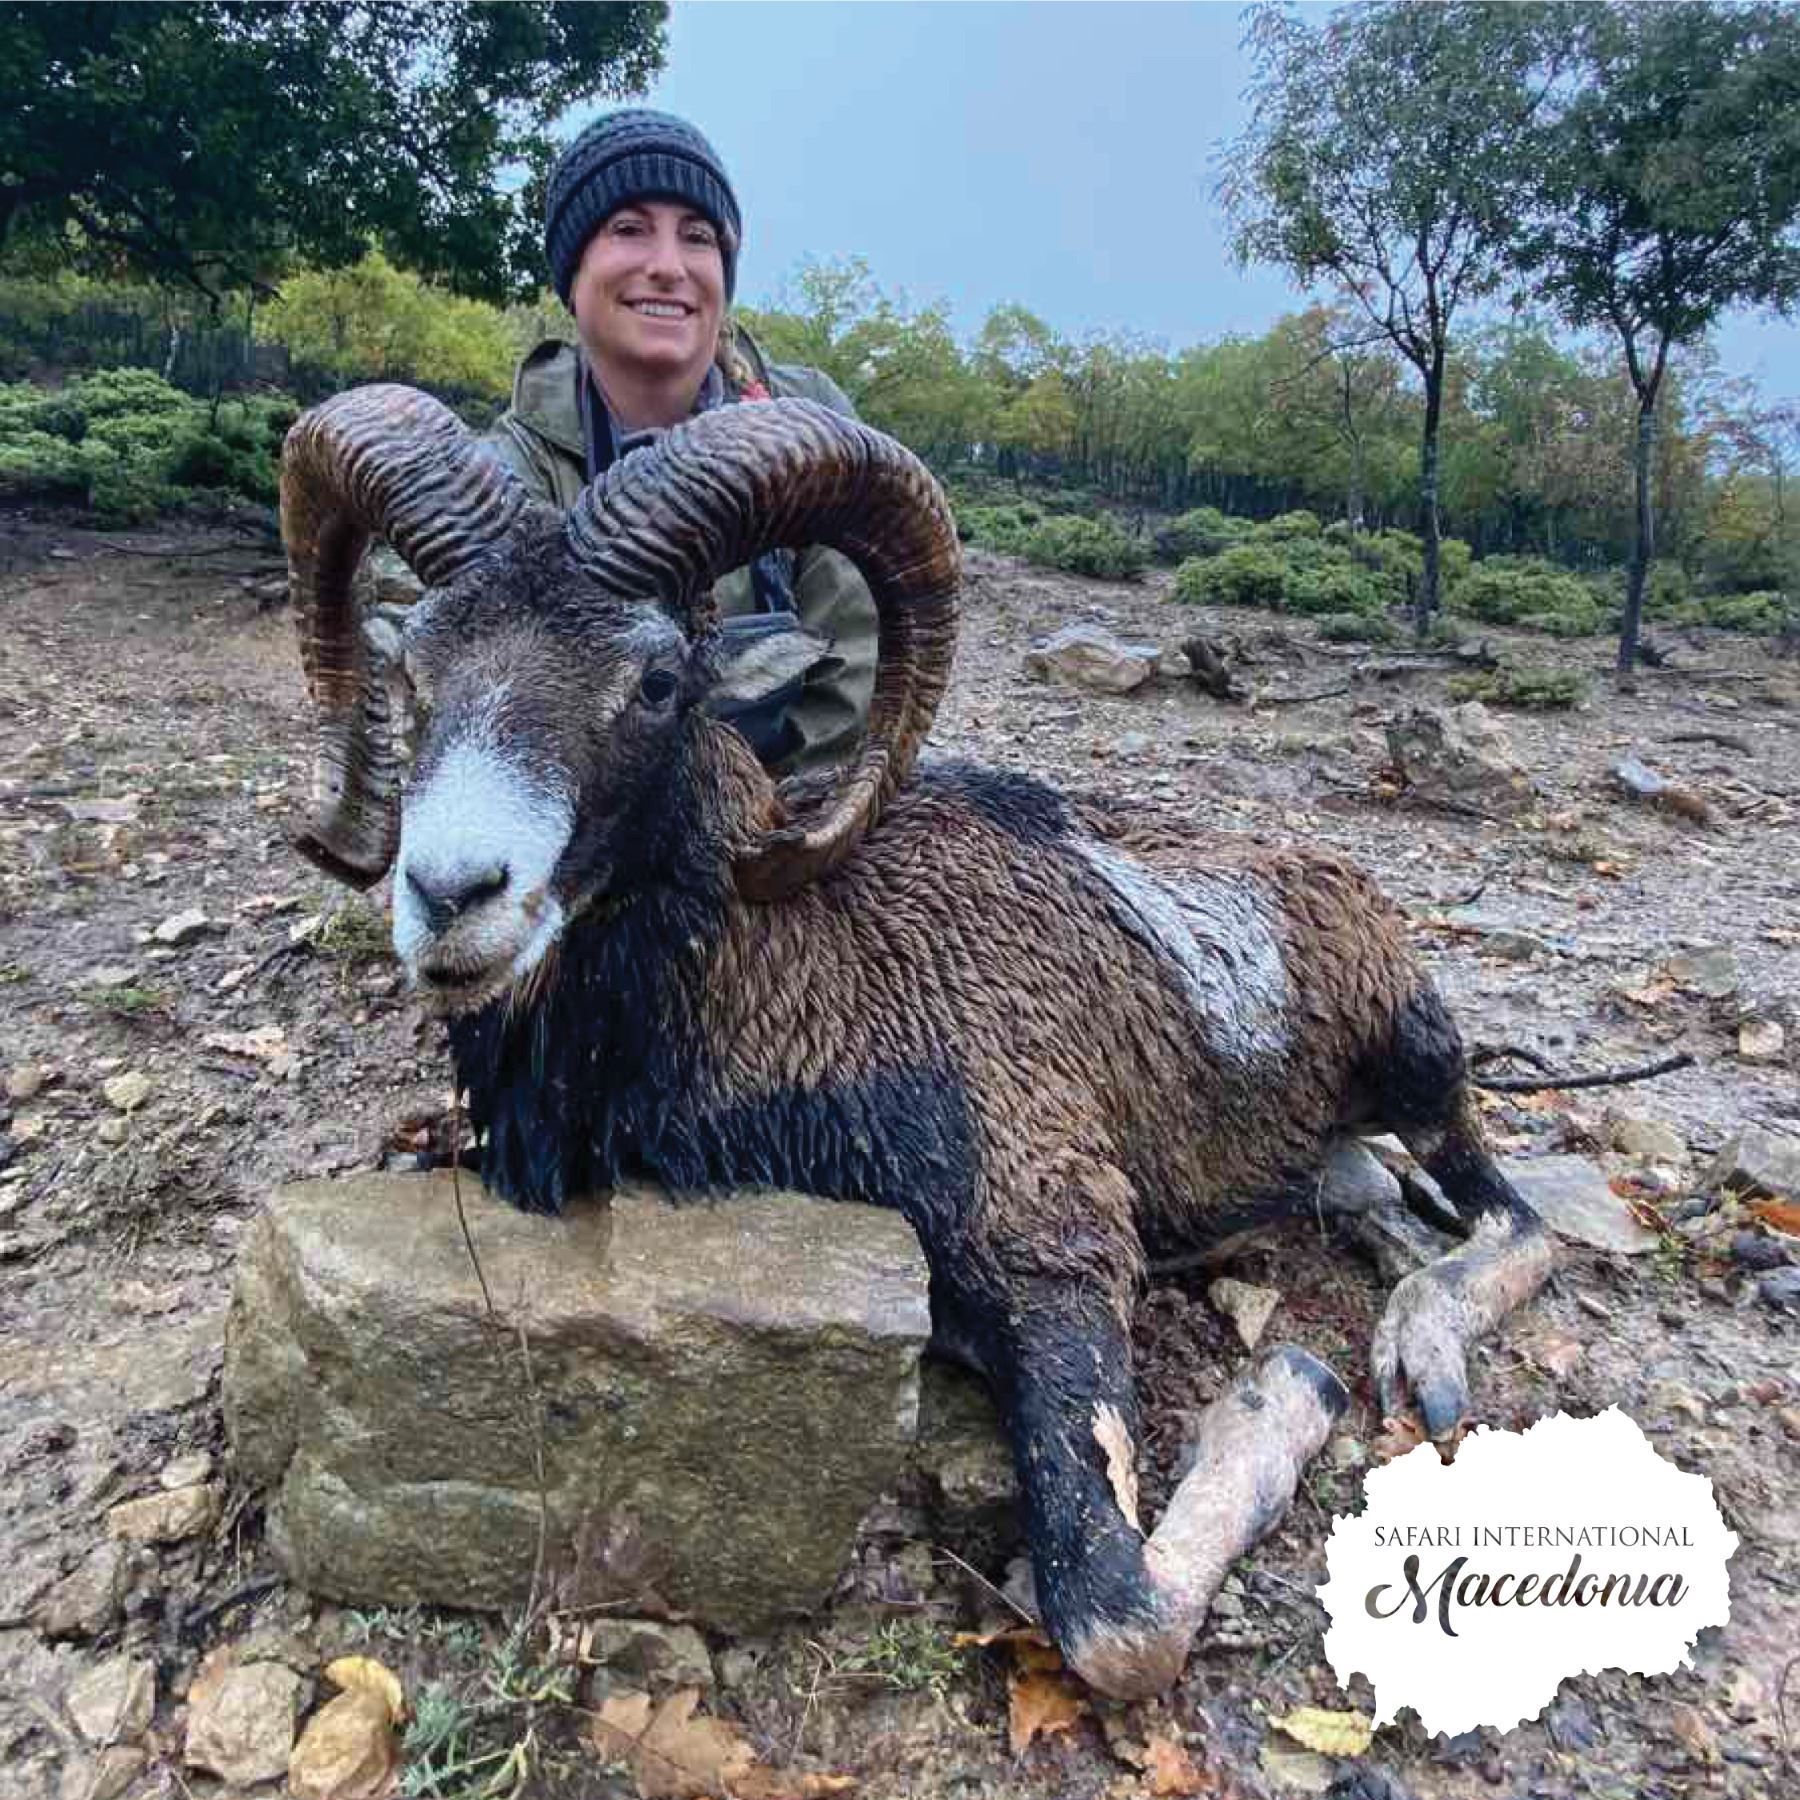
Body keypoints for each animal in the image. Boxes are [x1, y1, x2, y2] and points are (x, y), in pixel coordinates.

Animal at [279, 384, 1554, 1700]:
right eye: (413, 668)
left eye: (657, 680)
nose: (452, 894)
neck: (802, 979)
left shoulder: (1051, 1249)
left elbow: (1117, 1624)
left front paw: (1290, 1385)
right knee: (1374, 1193)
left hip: (1418, 1060)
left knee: (1516, 1221)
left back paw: (1418, 1351)